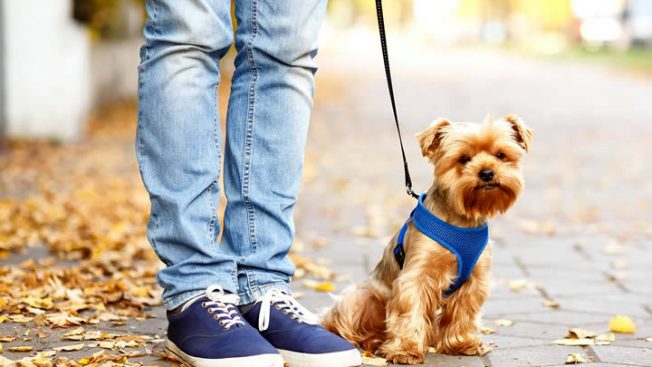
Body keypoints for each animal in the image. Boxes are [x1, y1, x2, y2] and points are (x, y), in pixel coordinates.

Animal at [324, 115, 532, 366]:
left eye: (501, 155)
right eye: (463, 159)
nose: (487, 172)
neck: (461, 221)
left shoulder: (474, 280)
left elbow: (463, 313)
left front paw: (461, 343)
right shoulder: (416, 277)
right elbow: (409, 310)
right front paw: (405, 350)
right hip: (359, 298)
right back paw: (370, 341)